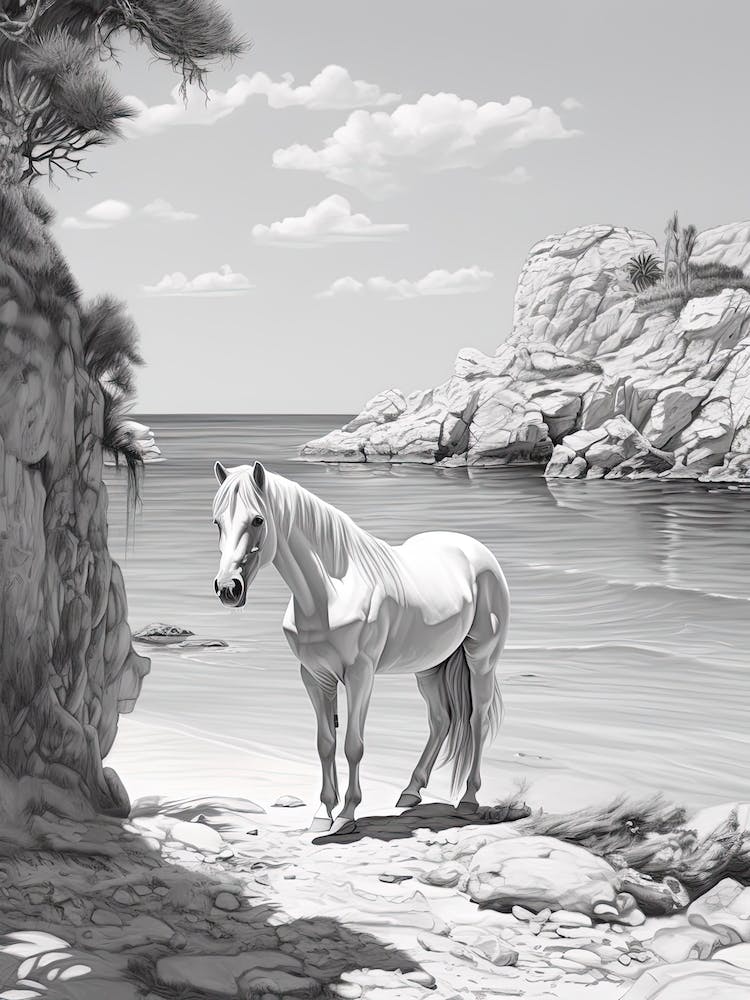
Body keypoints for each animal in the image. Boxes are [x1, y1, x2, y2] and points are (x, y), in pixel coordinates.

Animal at [212, 460, 510, 836]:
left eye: (257, 520)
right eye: (217, 522)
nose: (227, 588)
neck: (331, 591)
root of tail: (477, 551)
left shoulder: (360, 675)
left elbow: (353, 745)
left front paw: (347, 815)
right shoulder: (314, 676)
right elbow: (325, 743)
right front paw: (323, 813)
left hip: (481, 659)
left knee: (477, 719)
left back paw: (469, 798)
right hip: (428, 664)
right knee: (440, 719)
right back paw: (411, 791)